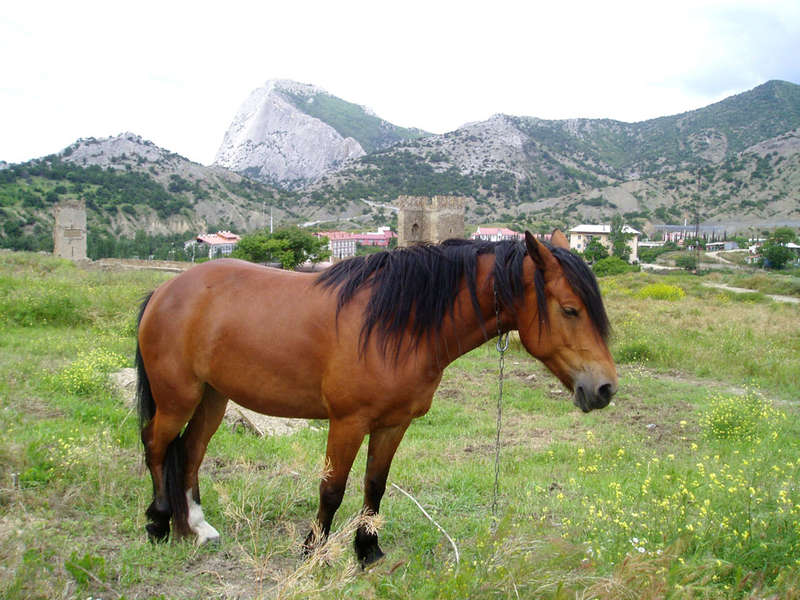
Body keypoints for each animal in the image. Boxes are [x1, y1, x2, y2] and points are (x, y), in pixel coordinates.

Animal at [134, 229, 616, 564]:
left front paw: (368, 551)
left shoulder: (392, 424)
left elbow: (375, 486)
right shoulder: (348, 422)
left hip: (212, 397)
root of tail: (165, 291)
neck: (398, 324)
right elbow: (332, 489)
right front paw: (313, 551)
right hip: (178, 397)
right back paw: (158, 523)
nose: (605, 388)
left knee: (190, 451)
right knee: (157, 444)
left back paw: (196, 528)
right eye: (570, 309)